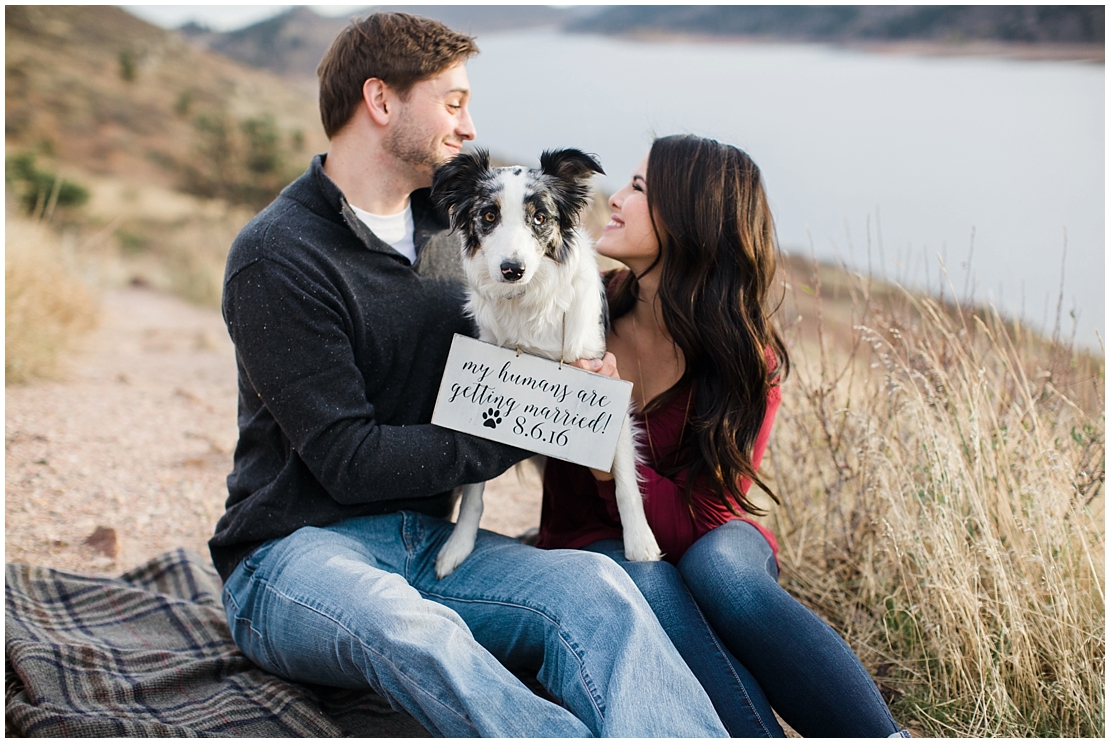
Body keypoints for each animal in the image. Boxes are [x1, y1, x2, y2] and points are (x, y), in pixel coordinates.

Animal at [430, 147, 657, 577]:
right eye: (489, 215)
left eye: (539, 218)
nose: (511, 270)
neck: (527, 300)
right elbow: (473, 488)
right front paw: (458, 546)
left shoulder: (606, 379)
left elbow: (625, 481)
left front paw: (640, 543)